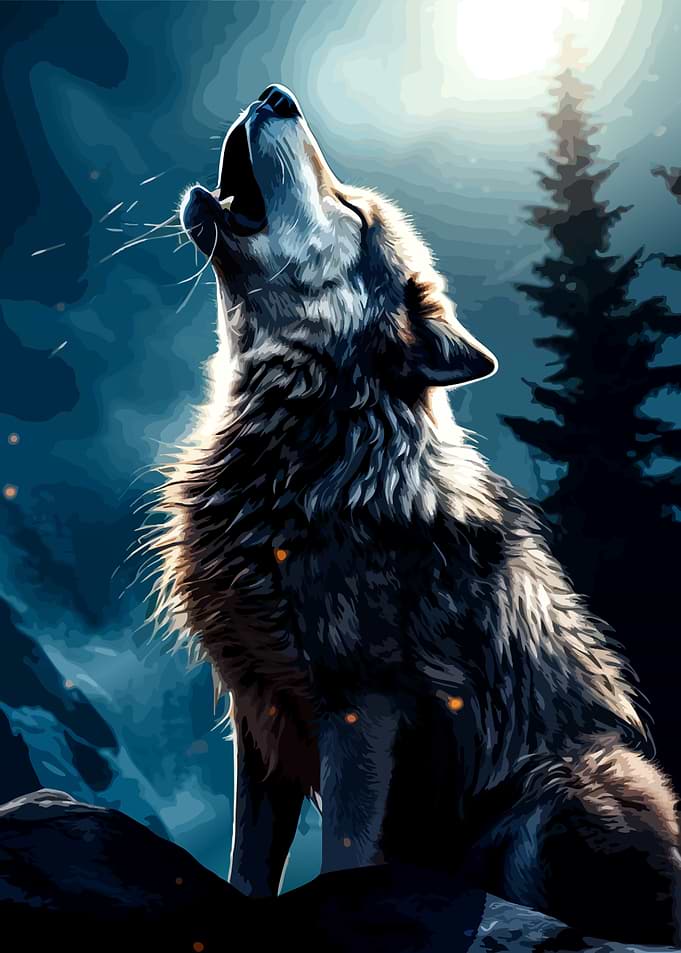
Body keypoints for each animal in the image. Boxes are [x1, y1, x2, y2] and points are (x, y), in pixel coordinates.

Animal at [149, 84, 680, 943]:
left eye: (351, 212)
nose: (275, 95)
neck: (304, 448)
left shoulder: (361, 709)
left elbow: (344, 861)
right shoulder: (257, 712)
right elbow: (246, 871)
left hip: (560, 784)